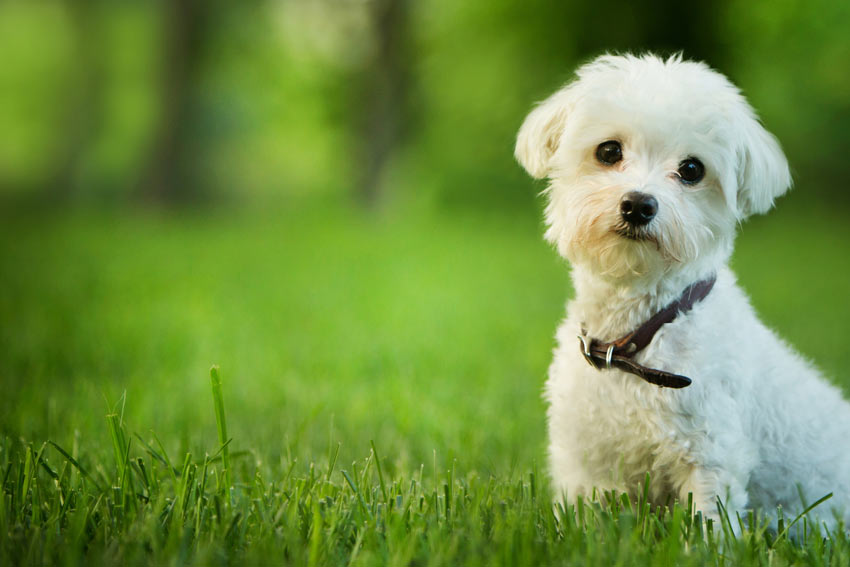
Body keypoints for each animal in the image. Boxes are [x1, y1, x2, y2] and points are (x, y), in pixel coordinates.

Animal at [512, 53, 844, 528]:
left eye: (691, 170)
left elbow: (708, 524)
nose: (638, 204)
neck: (637, 337)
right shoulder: (587, 462)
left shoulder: (712, 455)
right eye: (608, 151)